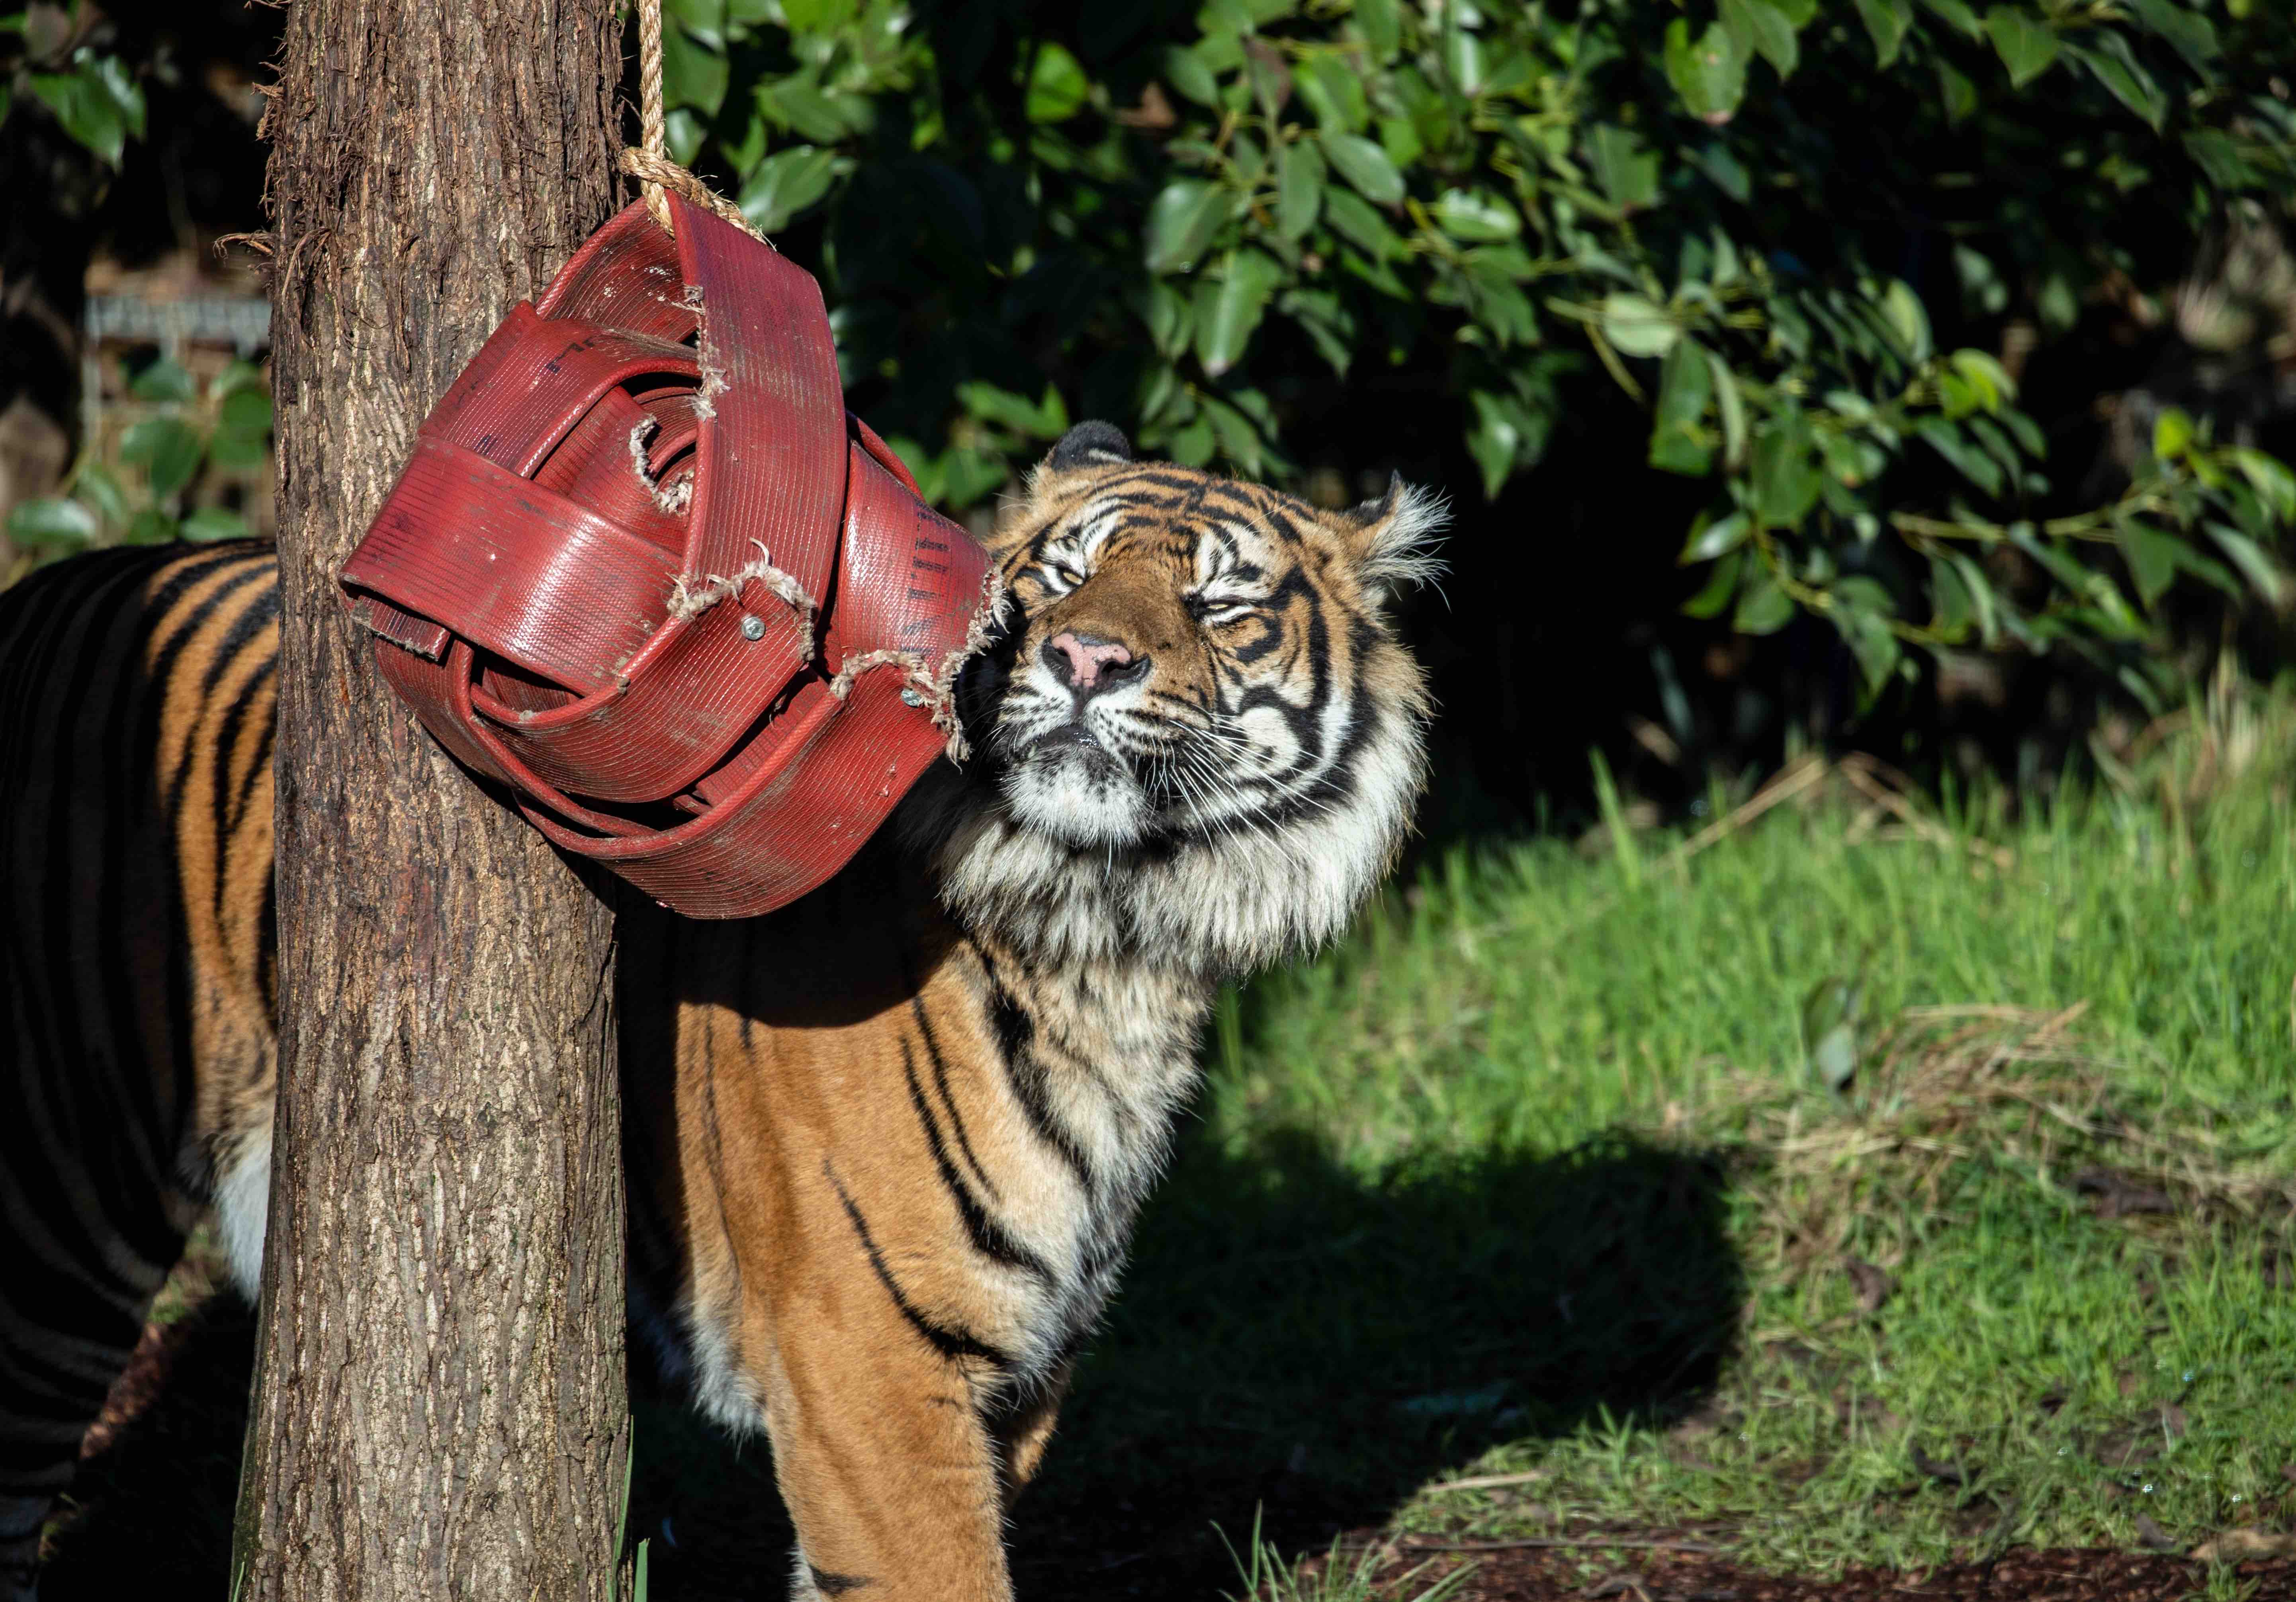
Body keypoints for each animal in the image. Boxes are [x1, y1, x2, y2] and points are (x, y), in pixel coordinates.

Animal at [0, 420, 1440, 1601]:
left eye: (1220, 603)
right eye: (1058, 579)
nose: (1086, 657)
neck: (1108, 930)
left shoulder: (1020, 1370)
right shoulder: (873, 1362)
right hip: (58, 1209)